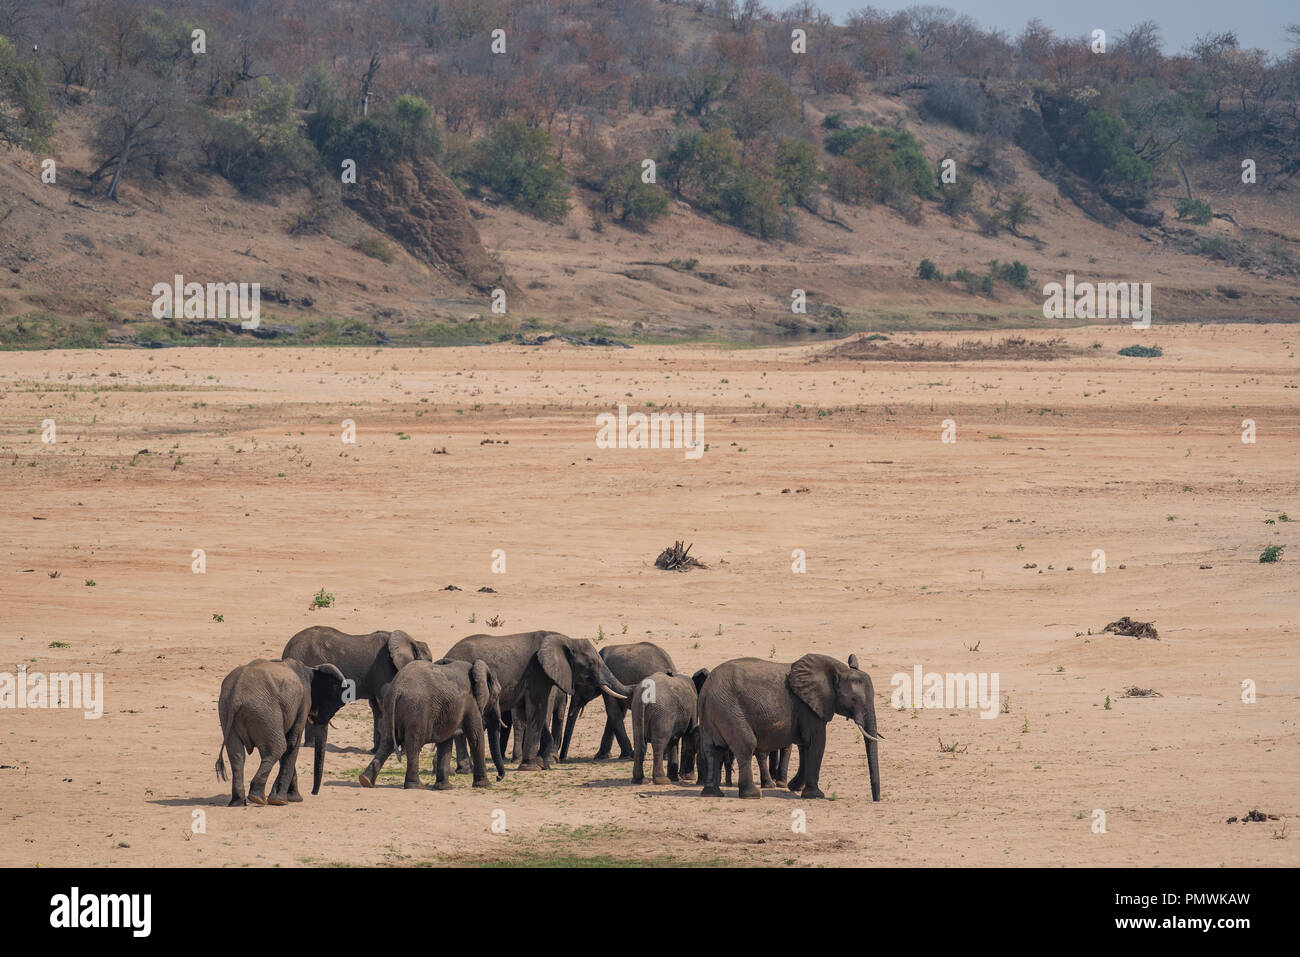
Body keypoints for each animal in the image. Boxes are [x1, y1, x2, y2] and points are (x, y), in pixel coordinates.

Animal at [214, 658, 348, 806]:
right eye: (334, 705)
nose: (313, 793)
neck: (312, 670)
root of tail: (236, 695)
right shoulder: (303, 702)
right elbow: (292, 742)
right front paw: (281, 800)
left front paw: (291, 798)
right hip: (265, 711)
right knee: (277, 748)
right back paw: (257, 798)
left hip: (227, 710)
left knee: (236, 754)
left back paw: (238, 802)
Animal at [281, 626, 432, 754]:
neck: (412, 641)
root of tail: (287, 649)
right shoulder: (383, 668)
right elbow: (385, 704)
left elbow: (377, 708)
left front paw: (374, 751)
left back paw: (310, 745)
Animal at [358, 658, 506, 789]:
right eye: (498, 695)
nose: (498, 778)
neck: (476, 668)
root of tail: (397, 689)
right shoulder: (471, 702)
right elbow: (475, 736)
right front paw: (484, 785)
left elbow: (446, 742)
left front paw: (444, 788)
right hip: (416, 711)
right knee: (413, 746)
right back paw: (415, 786)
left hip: (389, 708)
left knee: (387, 743)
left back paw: (366, 781)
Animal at [443, 630, 633, 771]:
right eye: (591, 663)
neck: (566, 639)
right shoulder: (537, 671)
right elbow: (537, 711)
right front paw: (533, 767)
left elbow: (529, 714)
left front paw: (546, 762)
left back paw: (465, 770)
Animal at [697, 653, 882, 800]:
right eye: (854, 700)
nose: (876, 799)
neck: (839, 670)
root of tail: (705, 689)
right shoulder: (809, 707)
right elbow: (817, 742)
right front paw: (815, 796)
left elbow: (805, 744)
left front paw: (795, 787)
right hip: (730, 710)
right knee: (746, 745)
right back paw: (752, 795)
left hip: (713, 713)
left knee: (713, 749)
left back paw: (712, 794)